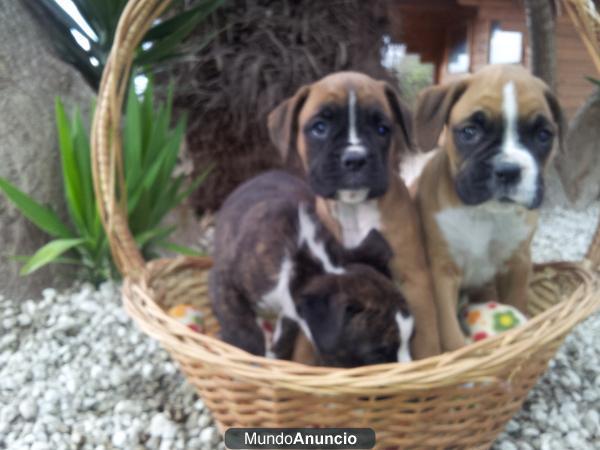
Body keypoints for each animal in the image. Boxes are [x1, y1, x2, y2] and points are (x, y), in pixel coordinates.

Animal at [209, 171, 414, 368]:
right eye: (377, 355)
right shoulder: (224, 283)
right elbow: (240, 326)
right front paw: (249, 354)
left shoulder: (292, 310)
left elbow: (285, 335)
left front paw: (276, 356)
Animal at [268, 71, 440, 358]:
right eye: (319, 127)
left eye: (382, 129)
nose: (355, 158)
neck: (354, 209)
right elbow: (305, 350)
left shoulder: (413, 279)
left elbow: (428, 339)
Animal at [414, 64, 564, 352]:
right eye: (470, 132)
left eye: (543, 135)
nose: (508, 170)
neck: (485, 214)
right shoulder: (442, 272)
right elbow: (450, 335)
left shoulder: (518, 265)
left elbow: (517, 303)